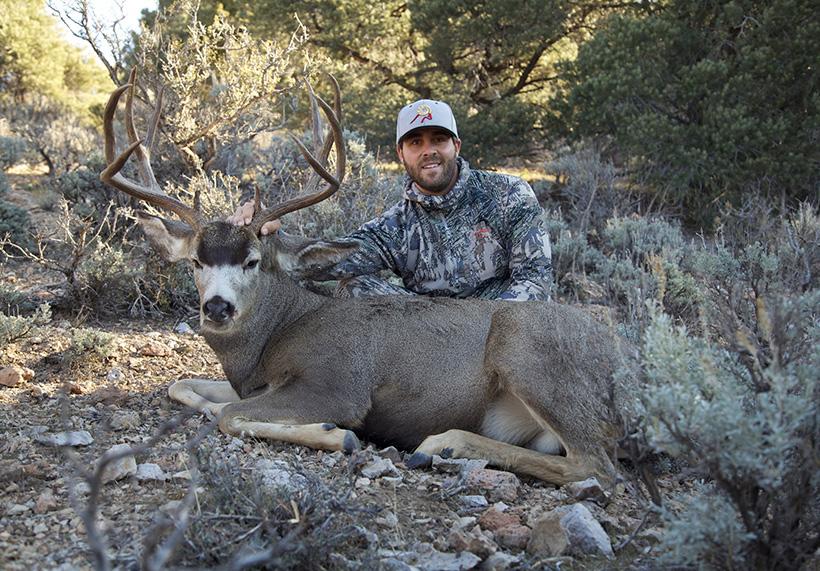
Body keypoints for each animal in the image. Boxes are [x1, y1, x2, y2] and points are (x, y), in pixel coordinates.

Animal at [100, 69, 638, 487]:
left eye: (253, 260)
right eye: (195, 261)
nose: (216, 308)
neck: (276, 337)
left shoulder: (338, 383)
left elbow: (231, 415)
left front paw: (336, 434)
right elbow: (182, 385)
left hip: (528, 351)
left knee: (595, 465)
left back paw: (441, 444)